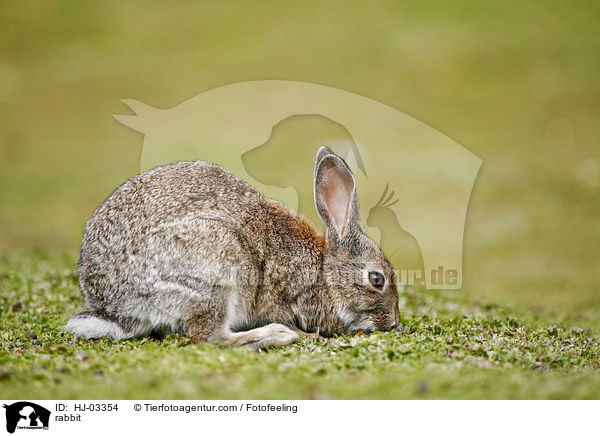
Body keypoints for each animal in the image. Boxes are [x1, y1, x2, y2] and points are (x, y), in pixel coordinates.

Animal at [65, 146, 398, 348]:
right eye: (377, 279)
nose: (393, 323)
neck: (325, 272)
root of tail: (115, 308)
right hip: (217, 268)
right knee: (209, 337)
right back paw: (277, 334)